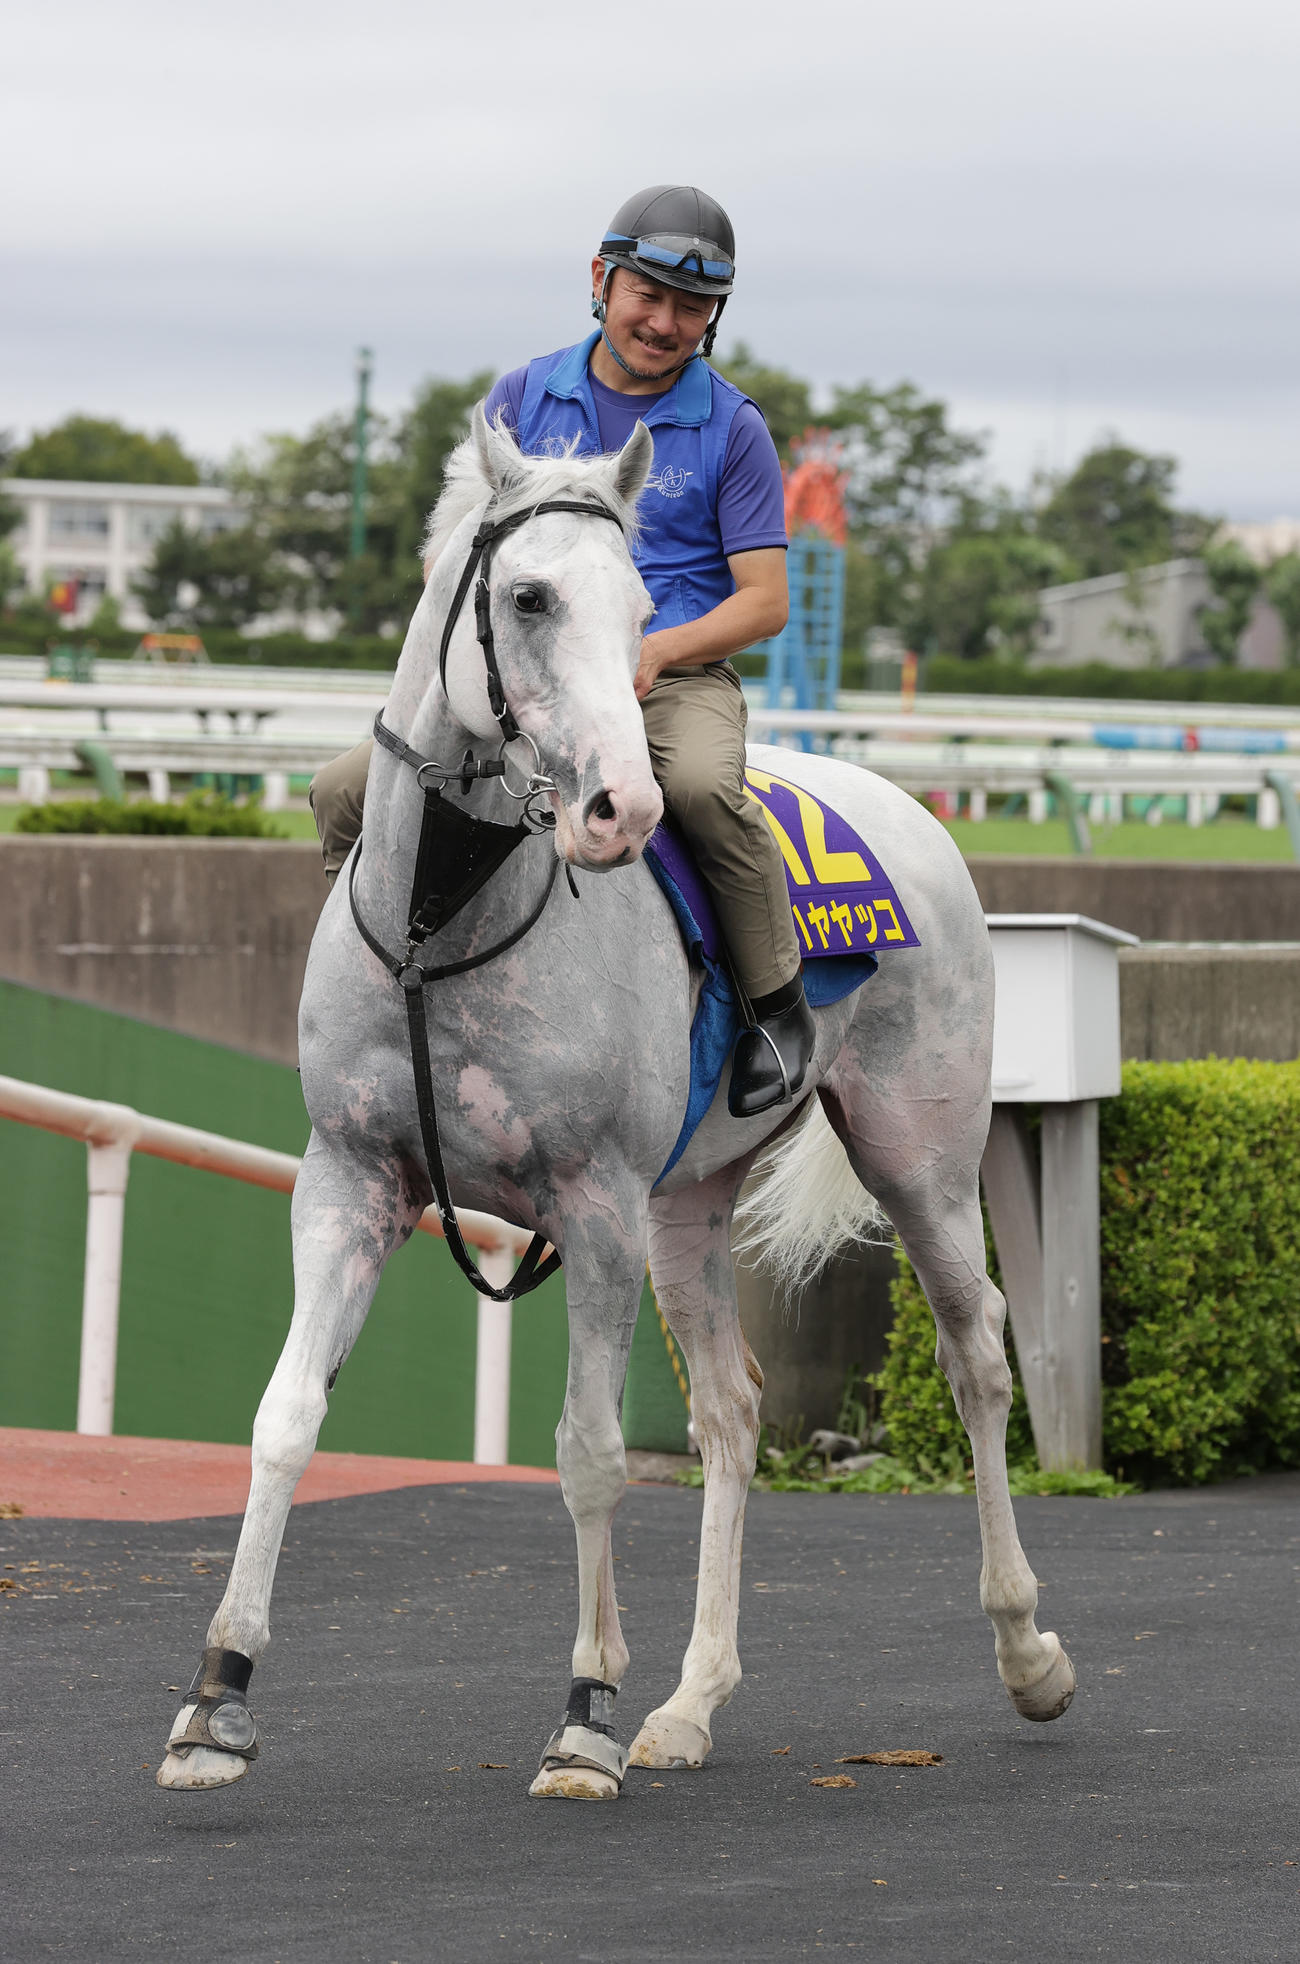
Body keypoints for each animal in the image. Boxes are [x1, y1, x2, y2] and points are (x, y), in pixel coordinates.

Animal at [157, 408, 1076, 1802]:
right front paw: (218, 1698)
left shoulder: (588, 1206)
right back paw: (690, 1702)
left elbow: (588, 1449)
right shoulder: (351, 1180)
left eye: (645, 604)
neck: (441, 925)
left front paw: (583, 1710)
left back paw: (1027, 1649)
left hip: (916, 1152)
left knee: (974, 1349)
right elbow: (283, 1418)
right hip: (686, 1206)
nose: (619, 807)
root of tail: (909, 810)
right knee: (732, 1410)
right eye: (528, 596)